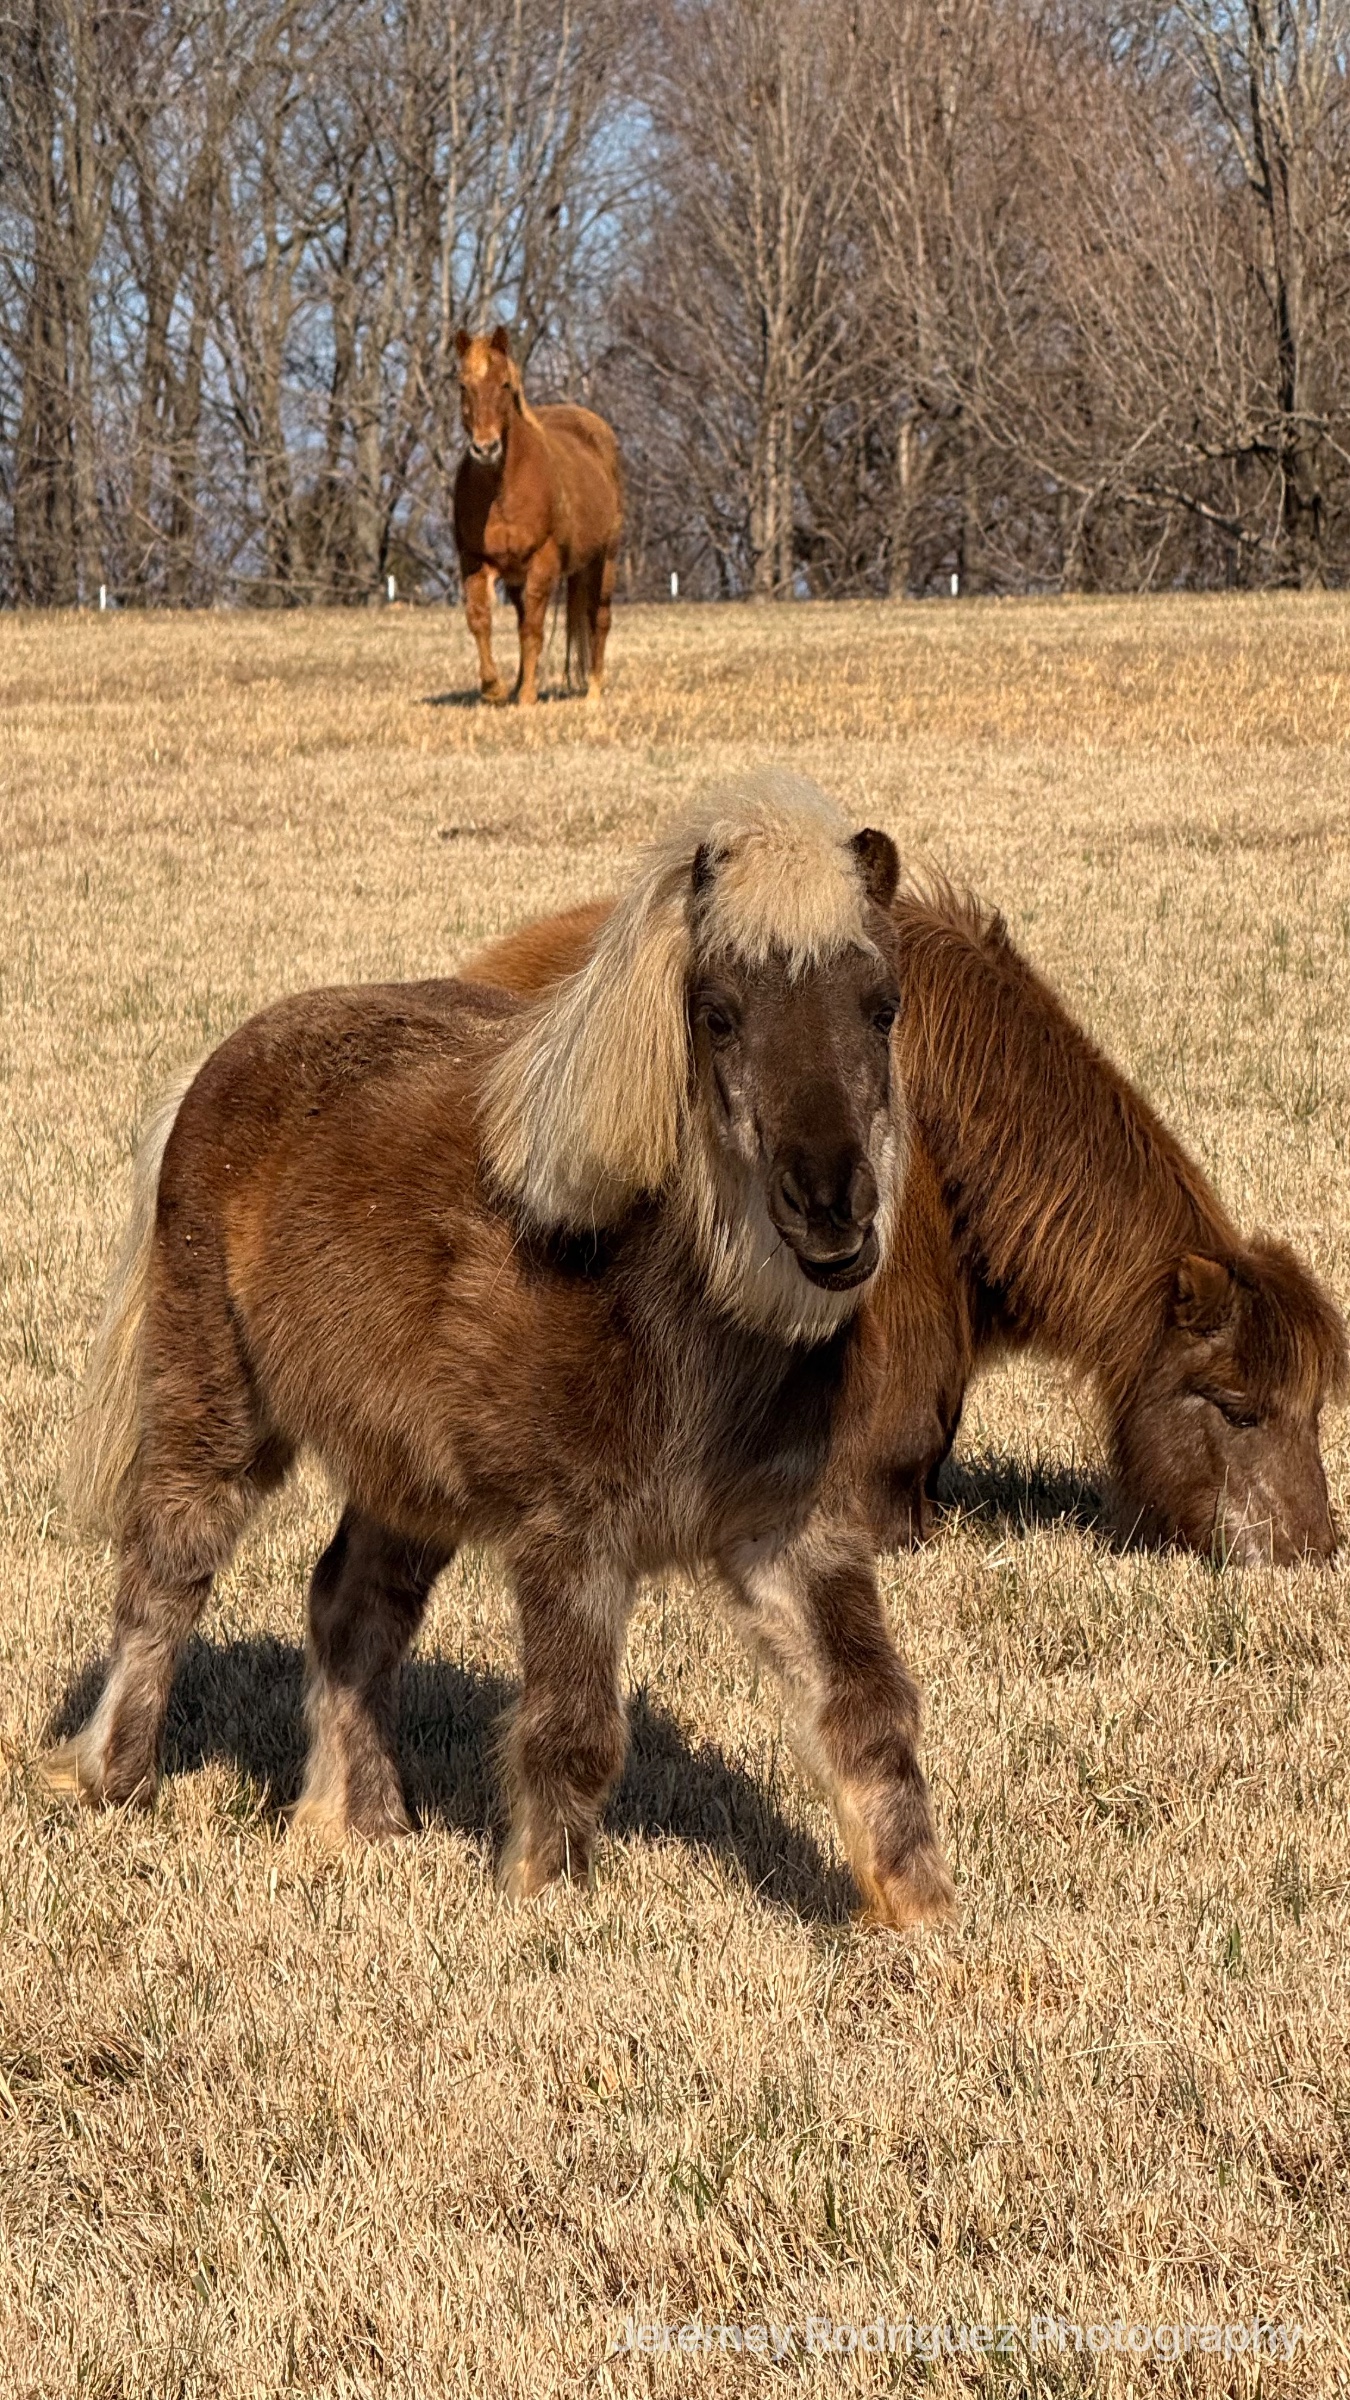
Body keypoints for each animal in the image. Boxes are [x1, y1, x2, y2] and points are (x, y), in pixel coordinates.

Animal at [48, 773, 956, 1933]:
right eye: (717, 1013)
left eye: (881, 1006)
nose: (832, 1211)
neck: (672, 1315)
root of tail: (220, 1062)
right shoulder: (570, 1539)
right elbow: (575, 1731)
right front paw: (544, 1898)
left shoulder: (794, 1532)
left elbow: (868, 1706)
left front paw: (923, 1914)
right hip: (215, 1402)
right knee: (168, 1567)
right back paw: (113, 1780)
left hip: (406, 1474)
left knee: (352, 1606)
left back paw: (358, 1821)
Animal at [453, 327, 623, 707]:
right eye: (462, 385)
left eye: (504, 384)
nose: (485, 448)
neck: (503, 489)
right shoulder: (475, 561)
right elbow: (480, 620)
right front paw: (495, 689)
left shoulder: (543, 562)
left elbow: (534, 628)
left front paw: (528, 696)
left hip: (604, 561)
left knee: (600, 619)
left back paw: (594, 690)